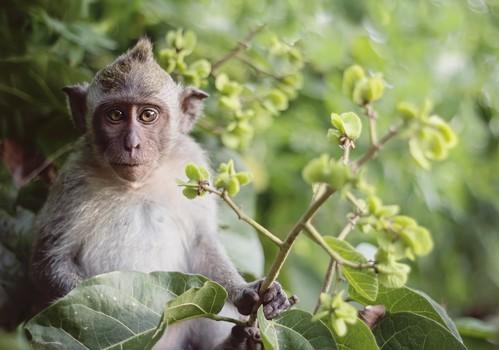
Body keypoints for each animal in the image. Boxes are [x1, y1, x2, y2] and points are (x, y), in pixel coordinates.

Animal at [29, 37, 294, 348]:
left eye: (147, 115)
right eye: (115, 115)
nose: (132, 144)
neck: (138, 186)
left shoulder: (190, 161)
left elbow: (202, 244)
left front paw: (250, 293)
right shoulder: (73, 182)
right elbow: (50, 261)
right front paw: (126, 303)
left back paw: (239, 342)